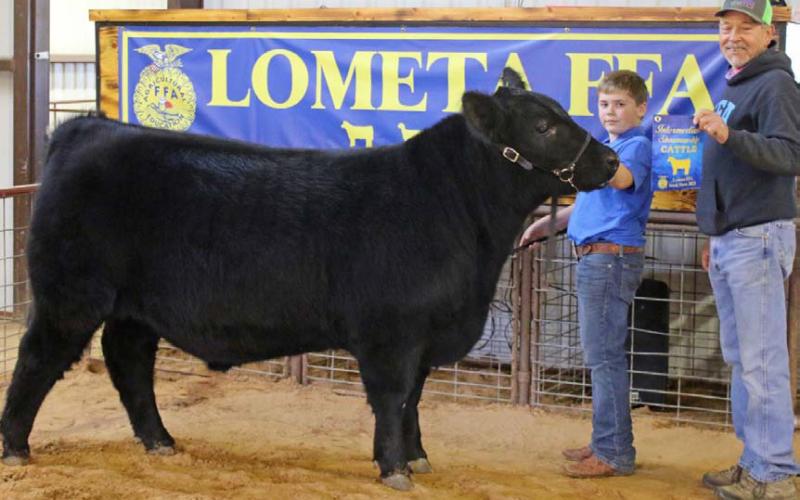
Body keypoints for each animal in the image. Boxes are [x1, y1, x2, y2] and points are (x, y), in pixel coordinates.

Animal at [0, 68, 618, 490]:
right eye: (543, 125)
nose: (611, 162)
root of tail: (87, 127)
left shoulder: (424, 336)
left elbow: (414, 400)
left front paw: (417, 457)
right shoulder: (391, 333)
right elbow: (393, 398)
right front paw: (394, 468)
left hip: (134, 308)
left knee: (128, 362)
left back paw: (160, 442)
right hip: (68, 296)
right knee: (36, 360)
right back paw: (15, 447)